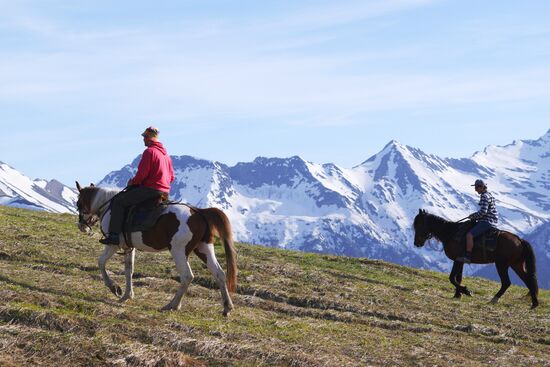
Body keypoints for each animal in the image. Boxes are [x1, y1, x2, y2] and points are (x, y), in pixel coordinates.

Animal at [74, 183, 238, 314]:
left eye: (78, 203)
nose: (82, 226)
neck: (108, 205)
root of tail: (199, 212)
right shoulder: (129, 247)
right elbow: (129, 270)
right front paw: (127, 295)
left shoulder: (113, 244)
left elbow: (101, 262)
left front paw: (114, 288)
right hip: (204, 249)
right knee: (219, 274)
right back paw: (227, 307)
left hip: (178, 251)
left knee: (187, 276)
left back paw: (173, 305)